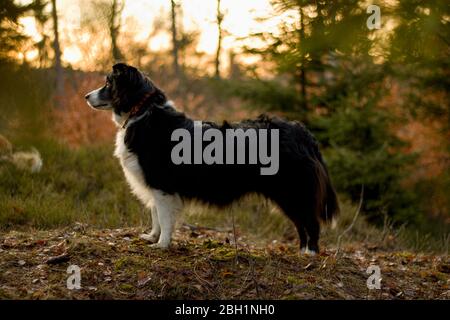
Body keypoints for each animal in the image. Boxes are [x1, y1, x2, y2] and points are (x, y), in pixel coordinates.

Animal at [84, 62, 340, 254]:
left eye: (108, 83)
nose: (86, 96)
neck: (142, 110)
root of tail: (303, 132)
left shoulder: (162, 185)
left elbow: (164, 217)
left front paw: (162, 244)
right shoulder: (153, 186)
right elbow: (155, 214)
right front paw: (152, 236)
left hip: (293, 191)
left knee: (311, 222)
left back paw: (310, 254)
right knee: (301, 223)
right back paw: (302, 251)